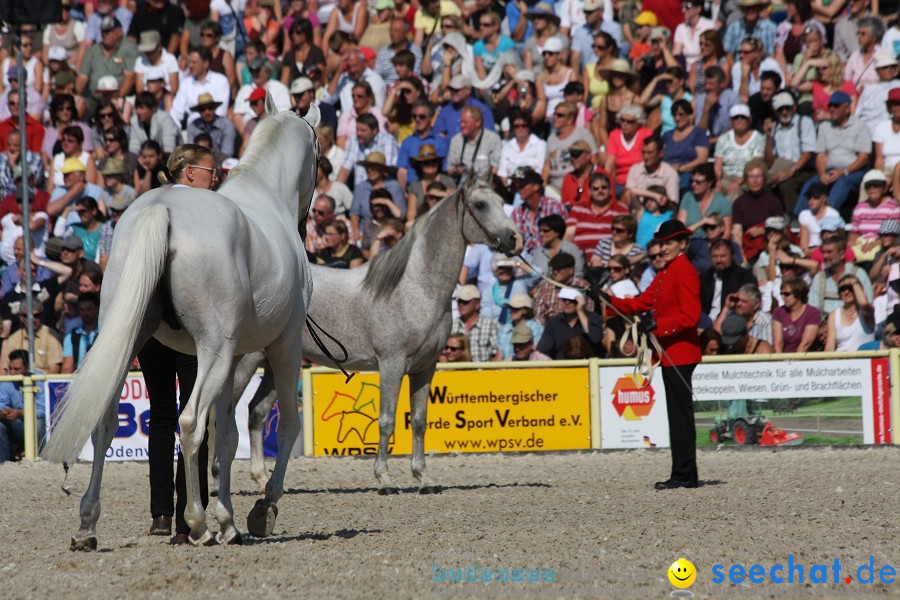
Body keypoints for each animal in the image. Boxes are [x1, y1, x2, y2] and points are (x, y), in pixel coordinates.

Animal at [44, 96, 324, 552]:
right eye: (319, 157)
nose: (305, 223)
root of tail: (164, 209)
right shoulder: (283, 346)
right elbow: (285, 425)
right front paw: (261, 510)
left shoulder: (236, 357)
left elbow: (227, 435)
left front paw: (229, 521)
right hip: (214, 351)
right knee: (190, 422)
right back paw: (196, 523)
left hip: (131, 341)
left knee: (105, 422)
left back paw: (88, 526)